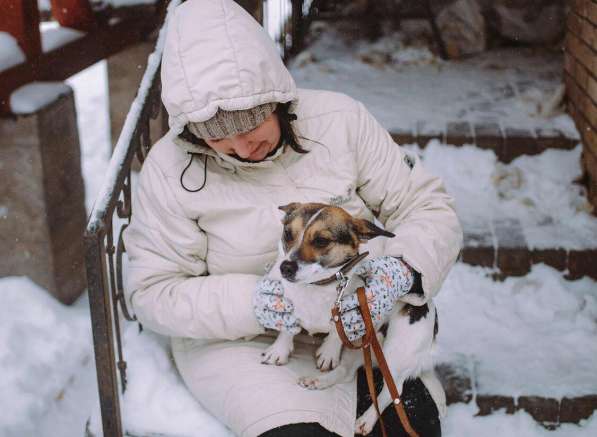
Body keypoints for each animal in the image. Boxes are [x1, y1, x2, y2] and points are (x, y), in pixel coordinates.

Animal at [264, 203, 444, 434]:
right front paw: (279, 351)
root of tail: (432, 315)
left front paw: (328, 351)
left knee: (392, 392)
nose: (285, 267)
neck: (316, 287)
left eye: (321, 240)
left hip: (397, 352)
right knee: (346, 372)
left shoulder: (349, 316)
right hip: (363, 348)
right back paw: (319, 382)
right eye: (288, 233)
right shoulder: (289, 304)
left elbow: (335, 331)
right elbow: (288, 328)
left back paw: (367, 420)